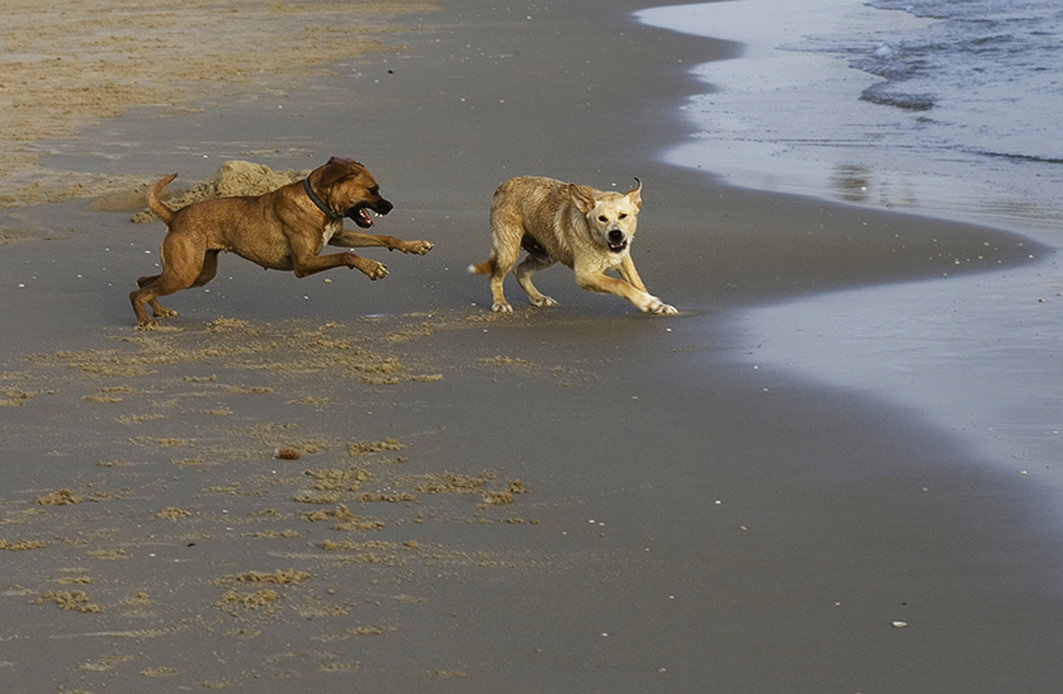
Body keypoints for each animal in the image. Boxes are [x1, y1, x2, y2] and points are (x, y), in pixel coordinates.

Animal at [129, 157, 431, 327]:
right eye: (372, 190)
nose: (390, 206)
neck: (317, 203)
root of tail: (175, 215)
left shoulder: (338, 237)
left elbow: (382, 237)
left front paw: (414, 246)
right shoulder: (304, 263)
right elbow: (348, 256)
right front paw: (373, 268)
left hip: (197, 272)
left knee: (144, 281)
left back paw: (159, 310)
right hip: (186, 272)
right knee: (138, 292)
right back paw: (144, 321)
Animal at [469, 176, 676, 314]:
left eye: (623, 215)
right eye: (602, 219)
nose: (616, 234)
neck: (598, 241)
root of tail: (503, 185)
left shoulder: (624, 260)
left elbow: (637, 282)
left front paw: (657, 304)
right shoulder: (584, 275)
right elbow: (620, 284)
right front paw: (648, 303)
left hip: (547, 253)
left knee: (521, 270)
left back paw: (538, 297)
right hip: (509, 249)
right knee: (496, 276)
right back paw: (500, 302)